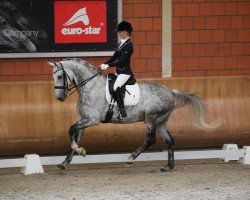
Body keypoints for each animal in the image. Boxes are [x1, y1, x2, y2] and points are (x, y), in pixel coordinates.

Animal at [48, 58, 215, 172]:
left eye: (60, 76)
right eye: (53, 77)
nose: (59, 98)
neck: (90, 86)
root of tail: (170, 92)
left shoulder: (92, 120)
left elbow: (71, 129)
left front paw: (80, 151)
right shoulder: (82, 120)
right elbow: (75, 136)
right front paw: (65, 161)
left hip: (151, 119)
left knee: (151, 139)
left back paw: (130, 159)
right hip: (161, 122)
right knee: (169, 140)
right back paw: (168, 166)